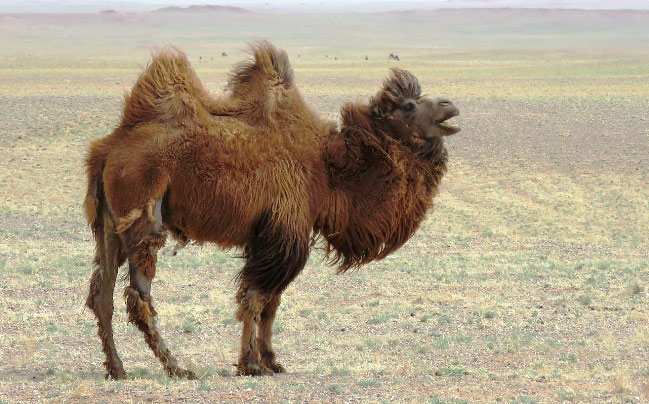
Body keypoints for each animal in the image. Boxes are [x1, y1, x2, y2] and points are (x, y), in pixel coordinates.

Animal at [84, 41, 460, 379]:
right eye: (409, 106)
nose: (450, 106)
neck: (327, 172)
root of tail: (108, 149)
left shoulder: (271, 235)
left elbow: (271, 304)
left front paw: (271, 361)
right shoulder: (284, 233)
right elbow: (256, 298)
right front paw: (251, 365)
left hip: (108, 223)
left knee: (102, 293)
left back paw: (117, 369)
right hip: (143, 212)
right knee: (139, 295)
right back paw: (176, 367)